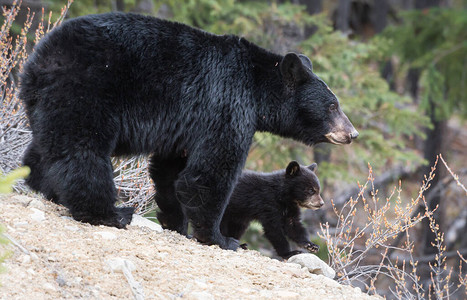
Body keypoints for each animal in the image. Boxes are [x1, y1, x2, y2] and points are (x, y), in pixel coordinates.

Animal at [21, 12, 358, 250]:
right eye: (332, 106)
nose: (352, 134)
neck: (257, 88)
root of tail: (40, 58)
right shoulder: (226, 105)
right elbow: (209, 172)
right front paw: (221, 238)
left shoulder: (186, 125)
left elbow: (171, 171)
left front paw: (176, 224)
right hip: (88, 89)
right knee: (82, 150)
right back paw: (109, 213)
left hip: (51, 101)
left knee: (46, 146)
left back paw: (42, 186)